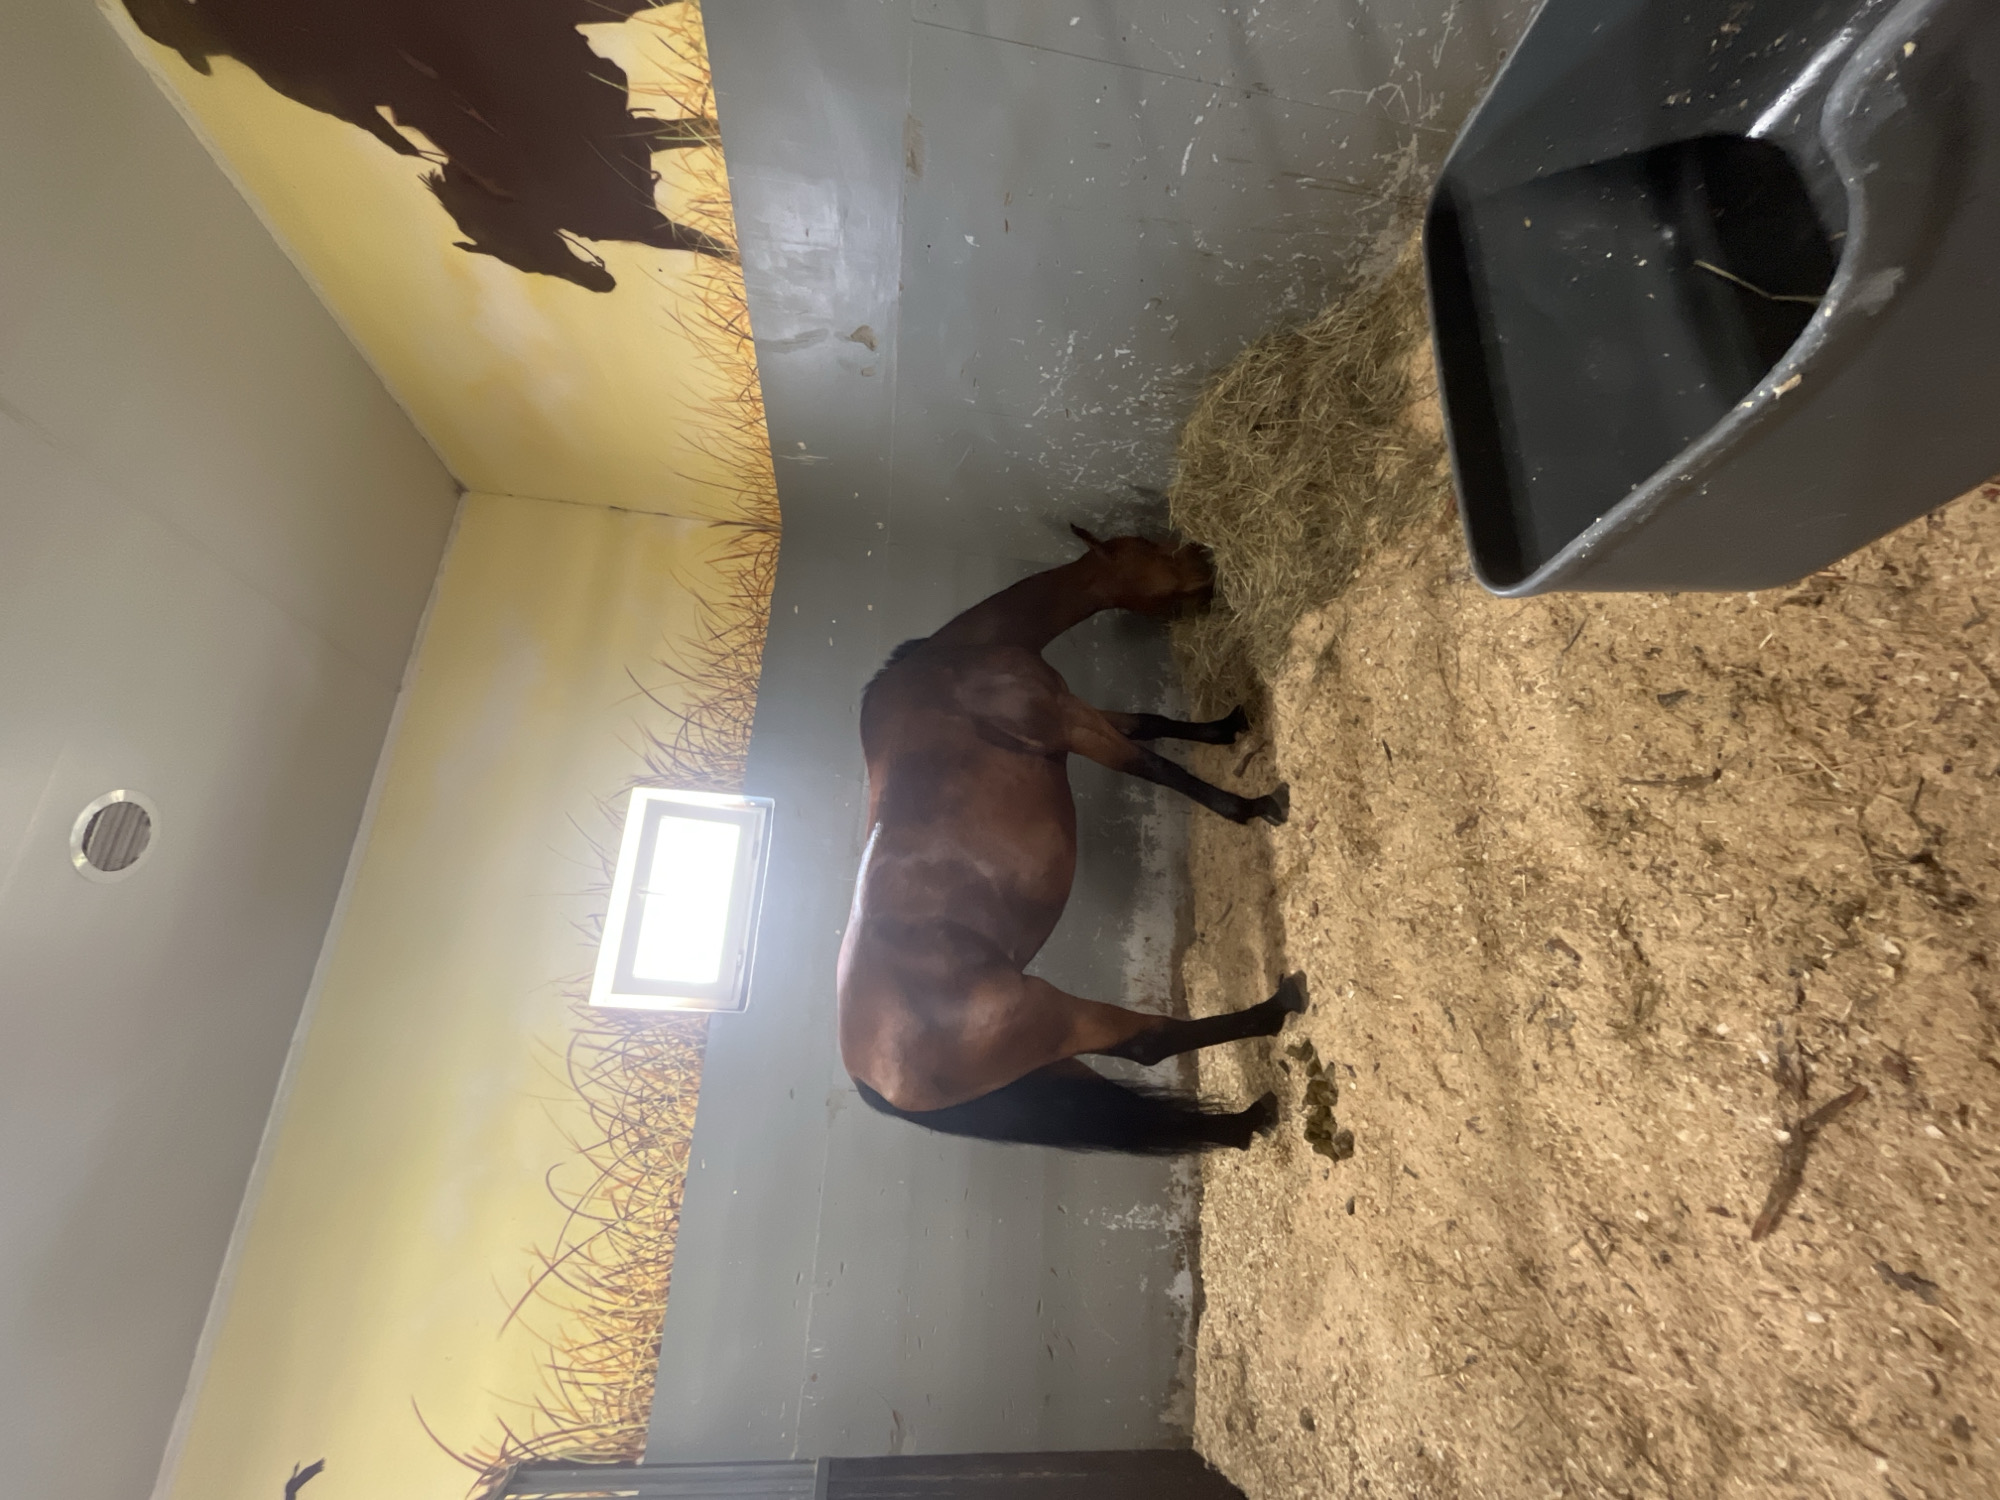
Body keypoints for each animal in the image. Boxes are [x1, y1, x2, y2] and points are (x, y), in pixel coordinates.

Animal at [836, 527, 1308, 1155]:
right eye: (1145, 546)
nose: (1202, 557)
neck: (957, 657)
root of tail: (870, 1079)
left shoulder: (1084, 711)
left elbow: (1150, 721)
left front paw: (1226, 726)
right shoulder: (1071, 722)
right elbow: (1156, 766)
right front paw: (1252, 807)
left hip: (1047, 1062)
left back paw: (1248, 1121)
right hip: (1056, 1015)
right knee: (1149, 1041)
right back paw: (1279, 1008)